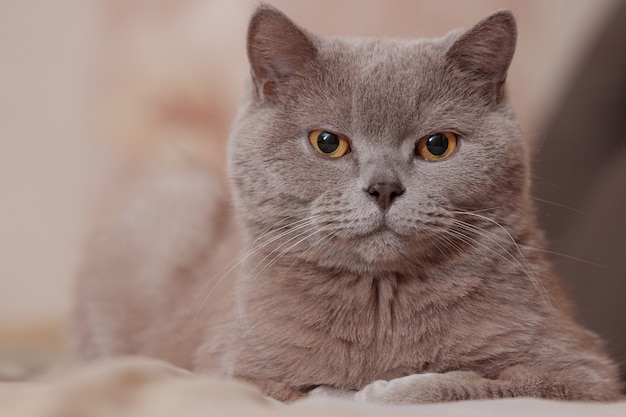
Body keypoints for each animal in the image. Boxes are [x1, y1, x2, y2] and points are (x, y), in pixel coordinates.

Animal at [70, 4, 616, 404]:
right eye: (328, 142)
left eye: (437, 145)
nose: (384, 187)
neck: (380, 305)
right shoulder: (227, 371)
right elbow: (290, 389)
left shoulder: (588, 374)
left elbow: (495, 382)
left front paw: (391, 388)